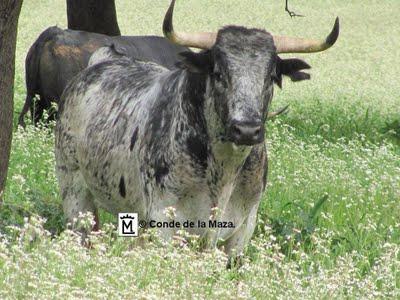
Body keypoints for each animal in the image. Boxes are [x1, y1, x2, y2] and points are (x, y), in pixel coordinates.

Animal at [54, 0, 340, 262]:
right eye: (218, 73)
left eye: (271, 77)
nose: (247, 130)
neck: (224, 171)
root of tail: (102, 60)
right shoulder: (164, 223)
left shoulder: (242, 229)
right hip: (74, 192)